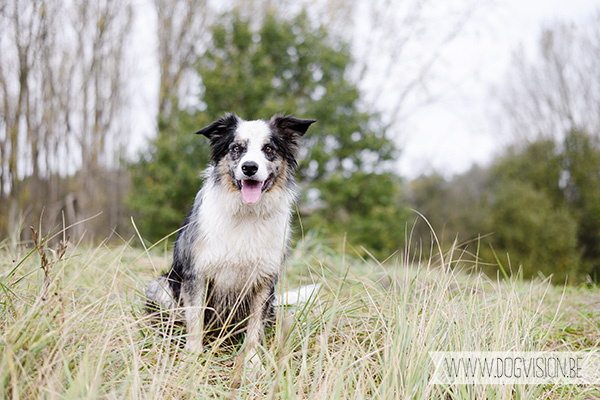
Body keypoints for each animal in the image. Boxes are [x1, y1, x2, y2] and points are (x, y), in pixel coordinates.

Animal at [145, 111, 316, 364]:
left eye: (268, 149)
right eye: (236, 148)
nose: (249, 167)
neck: (246, 213)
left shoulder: (264, 280)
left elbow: (255, 325)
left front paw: (252, 361)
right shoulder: (196, 275)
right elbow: (194, 320)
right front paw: (192, 358)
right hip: (161, 285)